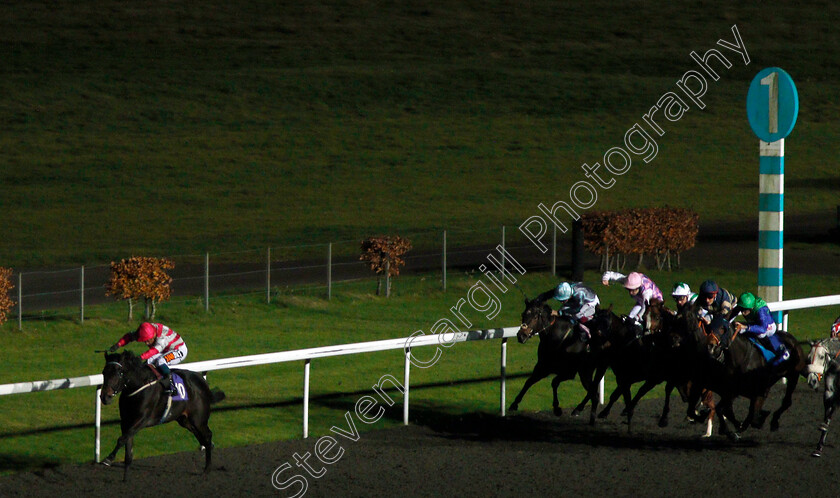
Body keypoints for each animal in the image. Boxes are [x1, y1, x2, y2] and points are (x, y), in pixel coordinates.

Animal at [99, 348, 225, 480]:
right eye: (104, 373)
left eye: (119, 373)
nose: (105, 397)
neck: (138, 386)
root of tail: (202, 382)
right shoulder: (125, 421)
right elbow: (128, 447)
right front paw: (125, 478)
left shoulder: (142, 420)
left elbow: (121, 439)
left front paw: (108, 458)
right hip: (184, 420)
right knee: (200, 436)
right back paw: (209, 448)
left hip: (198, 419)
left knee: (207, 435)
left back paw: (207, 468)